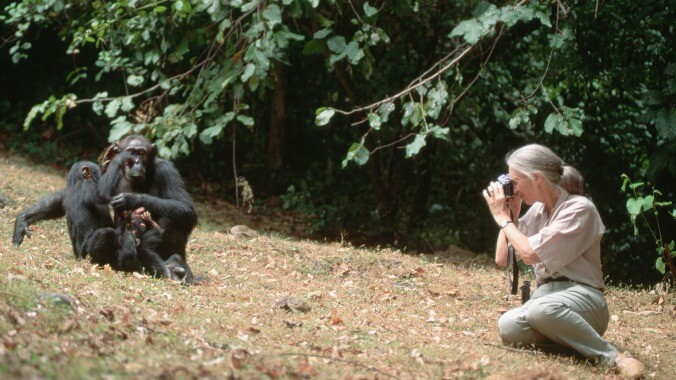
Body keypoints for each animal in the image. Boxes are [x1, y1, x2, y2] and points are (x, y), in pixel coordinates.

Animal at [97, 135, 198, 284]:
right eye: (131, 153)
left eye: (141, 153)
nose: (136, 162)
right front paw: (108, 158)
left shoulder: (167, 170)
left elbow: (186, 207)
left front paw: (132, 199)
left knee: (172, 220)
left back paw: (174, 265)